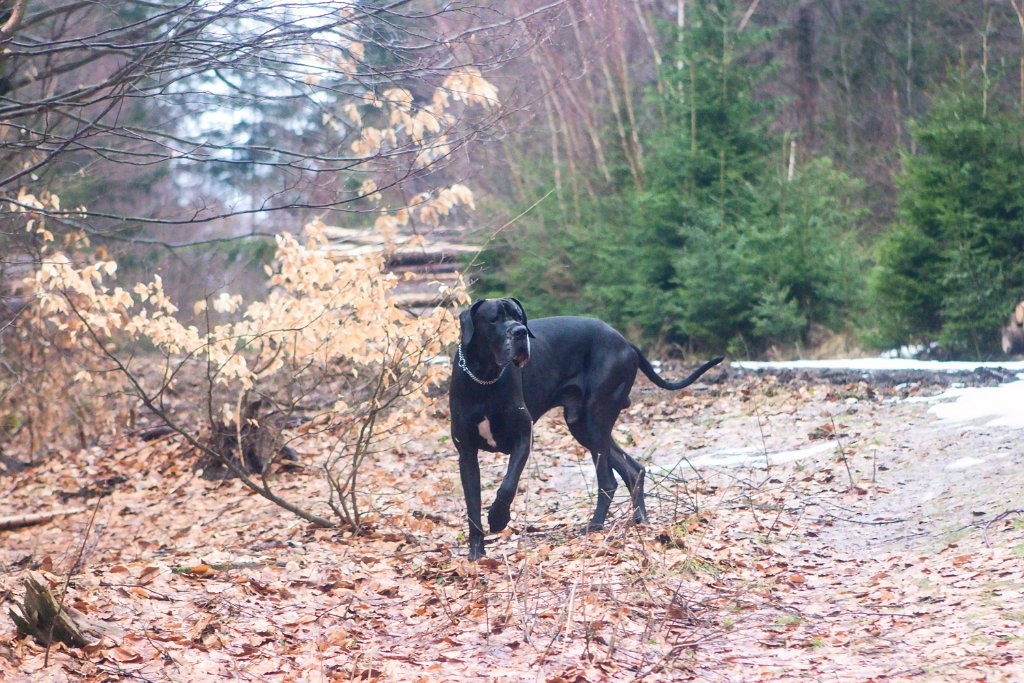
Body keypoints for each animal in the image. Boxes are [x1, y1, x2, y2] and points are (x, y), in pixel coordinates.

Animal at [448, 299, 720, 561]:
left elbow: (507, 485)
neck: (484, 379)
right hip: (584, 426)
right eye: (494, 319)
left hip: (596, 415)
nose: (520, 332)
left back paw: (595, 526)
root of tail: (624, 341)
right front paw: (476, 553)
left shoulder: (523, 437)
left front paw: (498, 518)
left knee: (608, 480)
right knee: (633, 469)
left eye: (519, 317)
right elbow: (472, 505)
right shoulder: (467, 455)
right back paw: (639, 520)